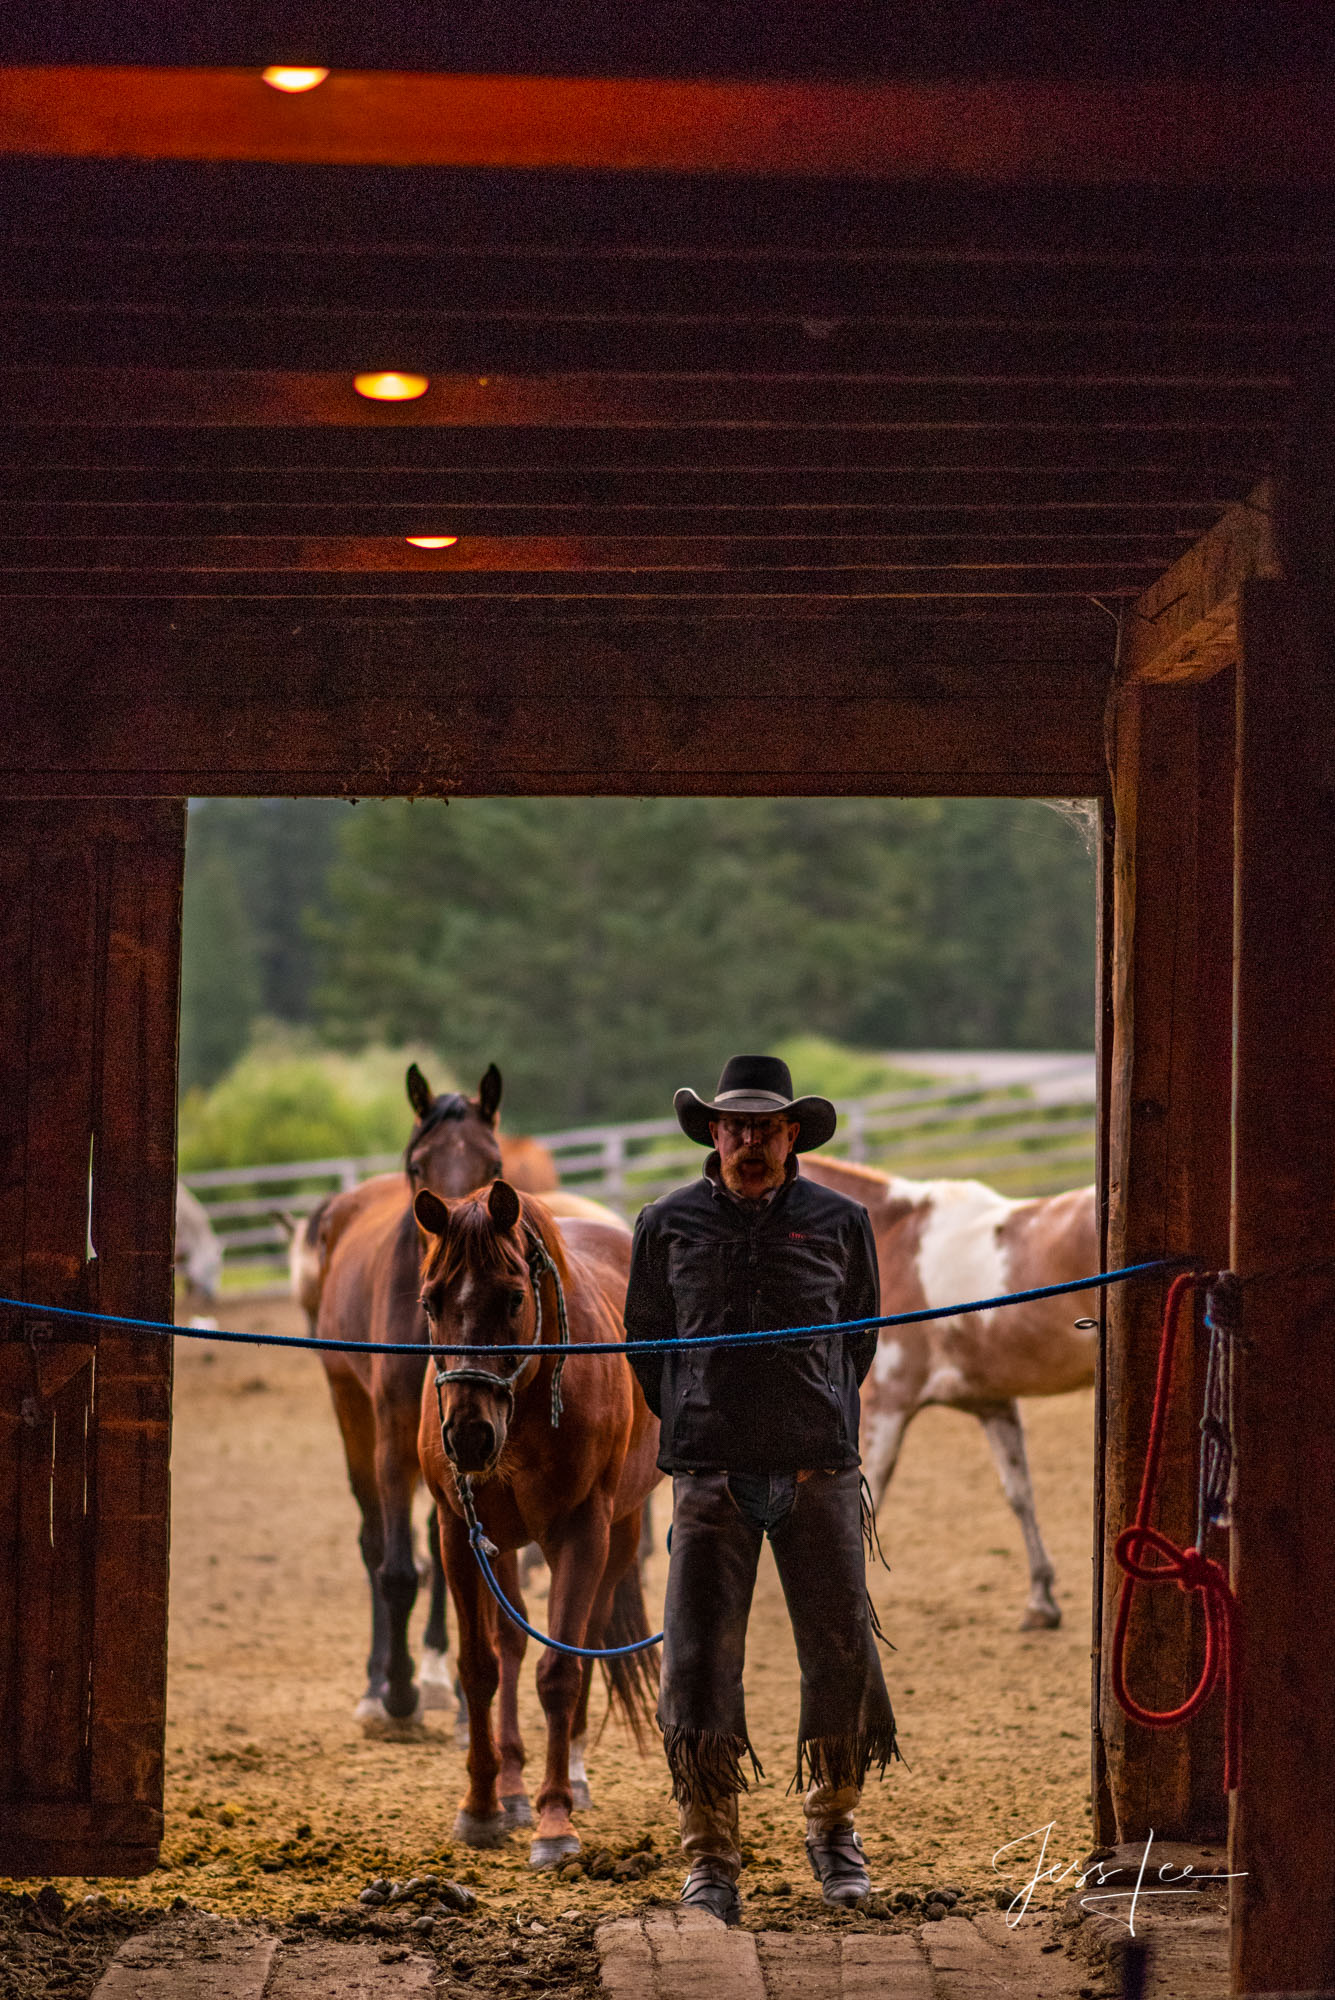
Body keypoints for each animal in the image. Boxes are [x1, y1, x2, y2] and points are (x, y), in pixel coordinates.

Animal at [315, 1064, 507, 1736]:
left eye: (493, 1161)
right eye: (419, 1166)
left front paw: (450, 1692)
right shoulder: (394, 1434)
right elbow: (396, 1570)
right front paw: (395, 1692)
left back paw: (437, 1678)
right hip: (350, 1410)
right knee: (374, 1540)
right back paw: (379, 1684)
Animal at [409, 1176, 655, 1864]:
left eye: (515, 1297)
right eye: (431, 1302)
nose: (468, 1436)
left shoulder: (581, 1531)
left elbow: (561, 1671)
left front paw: (554, 1821)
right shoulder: (459, 1534)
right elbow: (480, 1666)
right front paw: (483, 1806)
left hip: (620, 1533)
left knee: (589, 1638)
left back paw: (568, 1773)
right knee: (512, 1642)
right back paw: (515, 1785)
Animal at [799, 1160, 1103, 1624]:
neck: (893, 1237)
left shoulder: (887, 1407)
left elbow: (869, 1497)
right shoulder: (992, 1403)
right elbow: (1020, 1494)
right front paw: (1041, 1600)